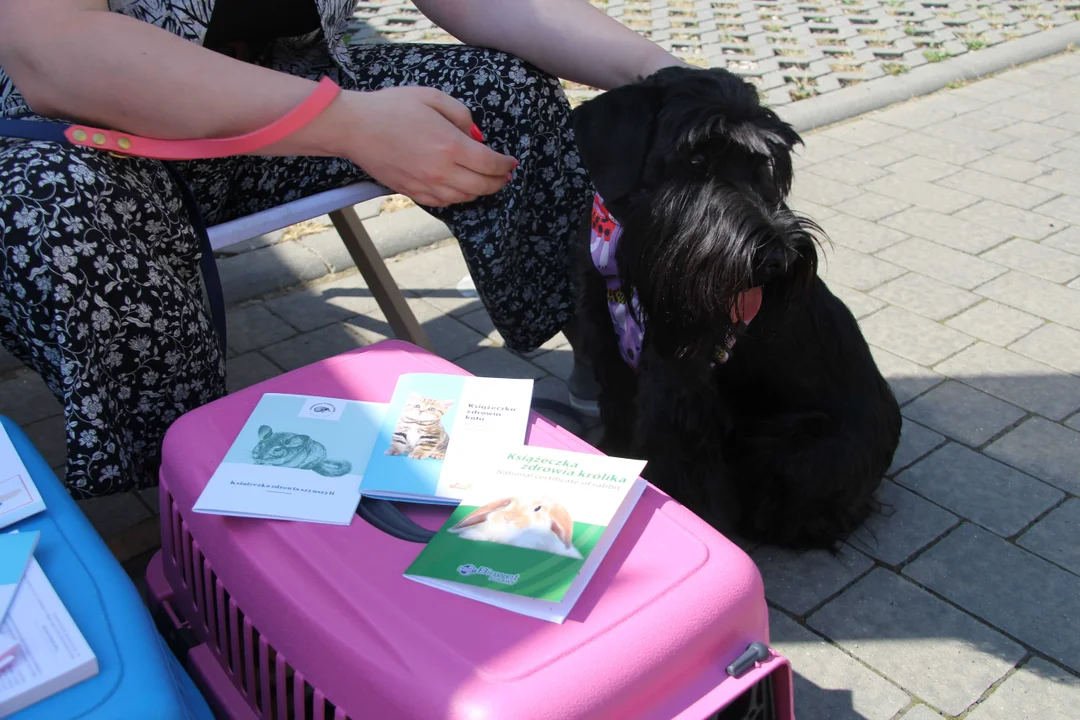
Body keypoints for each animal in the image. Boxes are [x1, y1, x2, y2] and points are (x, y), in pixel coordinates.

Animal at [574, 69, 902, 552]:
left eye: (764, 166)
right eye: (695, 160)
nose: (780, 258)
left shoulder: (679, 384)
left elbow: (685, 469)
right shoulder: (609, 357)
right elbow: (620, 422)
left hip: (789, 445)